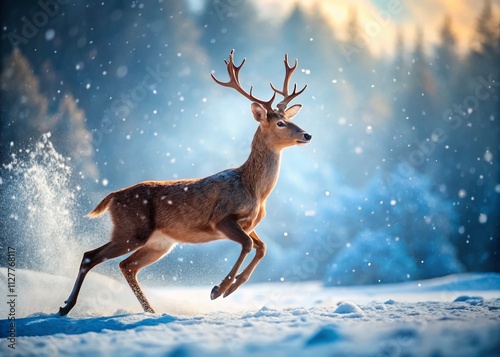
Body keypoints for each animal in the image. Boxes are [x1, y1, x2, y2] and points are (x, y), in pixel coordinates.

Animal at [57, 50, 308, 314]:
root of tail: (113, 196)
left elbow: (262, 247)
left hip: (159, 243)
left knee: (127, 266)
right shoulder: (221, 218)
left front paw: (231, 287)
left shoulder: (249, 223)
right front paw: (218, 289)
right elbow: (249, 244)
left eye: (289, 118)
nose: (307, 135)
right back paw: (66, 306)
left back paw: (150, 311)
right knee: (90, 256)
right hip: (131, 230)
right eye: (280, 123)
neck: (255, 190)